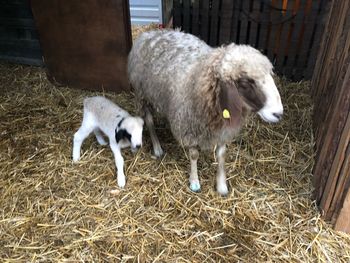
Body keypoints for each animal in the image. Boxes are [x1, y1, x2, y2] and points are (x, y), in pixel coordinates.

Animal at [127, 30, 284, 196]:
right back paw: (157, 148)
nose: (278, 113)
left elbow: (221, 155)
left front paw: (222, 186)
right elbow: (194, 155)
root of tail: (150, 32)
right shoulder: (189, 128)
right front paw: (194, 182)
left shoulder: (223, 131)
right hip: (142, 94)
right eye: (245, 82)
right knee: (149, 120)